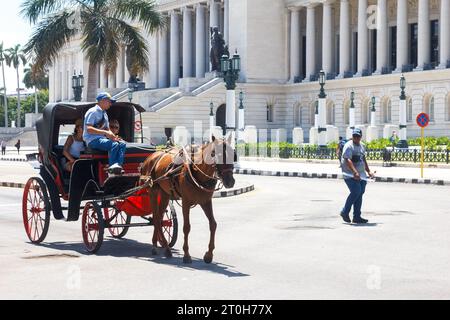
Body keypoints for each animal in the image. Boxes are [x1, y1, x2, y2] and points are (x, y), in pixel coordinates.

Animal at [142, 134, 237, 262]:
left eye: (233, 154)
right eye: (215, 154)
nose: (230, 181)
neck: (198, 173)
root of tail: (152, 156)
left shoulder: (206, 201)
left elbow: (213, 224)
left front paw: (209, 254)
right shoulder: (186, 202)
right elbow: (186, 227)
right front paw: (186, 255)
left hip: (165, 194)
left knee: (159, 217)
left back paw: (160, 245)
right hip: (152, 191)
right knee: (156, 218)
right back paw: (161, 246)